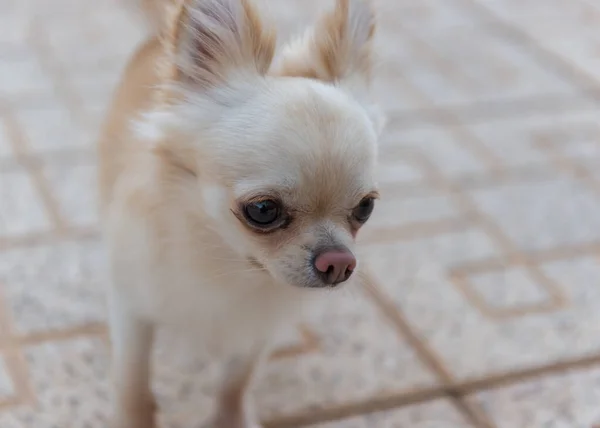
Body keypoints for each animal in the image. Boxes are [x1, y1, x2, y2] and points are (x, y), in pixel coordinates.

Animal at [96, 0, 382, 426]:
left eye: (365, 207)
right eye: (262, 210)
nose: (339, 263)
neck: (227, 261)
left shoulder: (259, 327)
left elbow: (237, 379)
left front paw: (229, 416)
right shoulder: (132, 307)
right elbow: (133, 379)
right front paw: (135, 418)